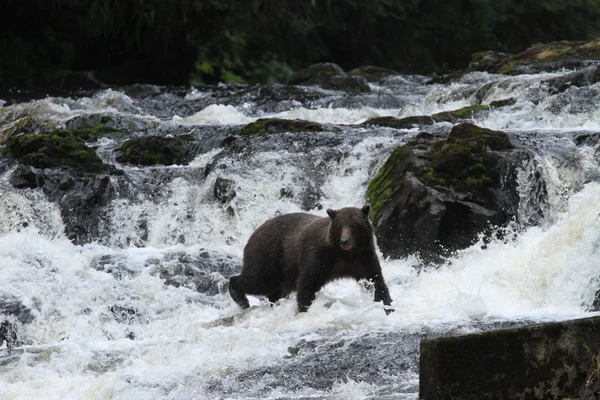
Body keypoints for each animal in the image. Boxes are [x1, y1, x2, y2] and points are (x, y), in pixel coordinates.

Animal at [230, 205, 394, 314]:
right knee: (257, 280)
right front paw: (304, 308)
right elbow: (307, 282)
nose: (345, 241)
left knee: (275, 290)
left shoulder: (363, 258)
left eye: (354, 225)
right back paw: (241, 298)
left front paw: (387, 305)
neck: (344, 254)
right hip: (268, 256)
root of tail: (254, 232)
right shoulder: (317, 255)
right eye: (340, 225)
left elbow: (376, 280)